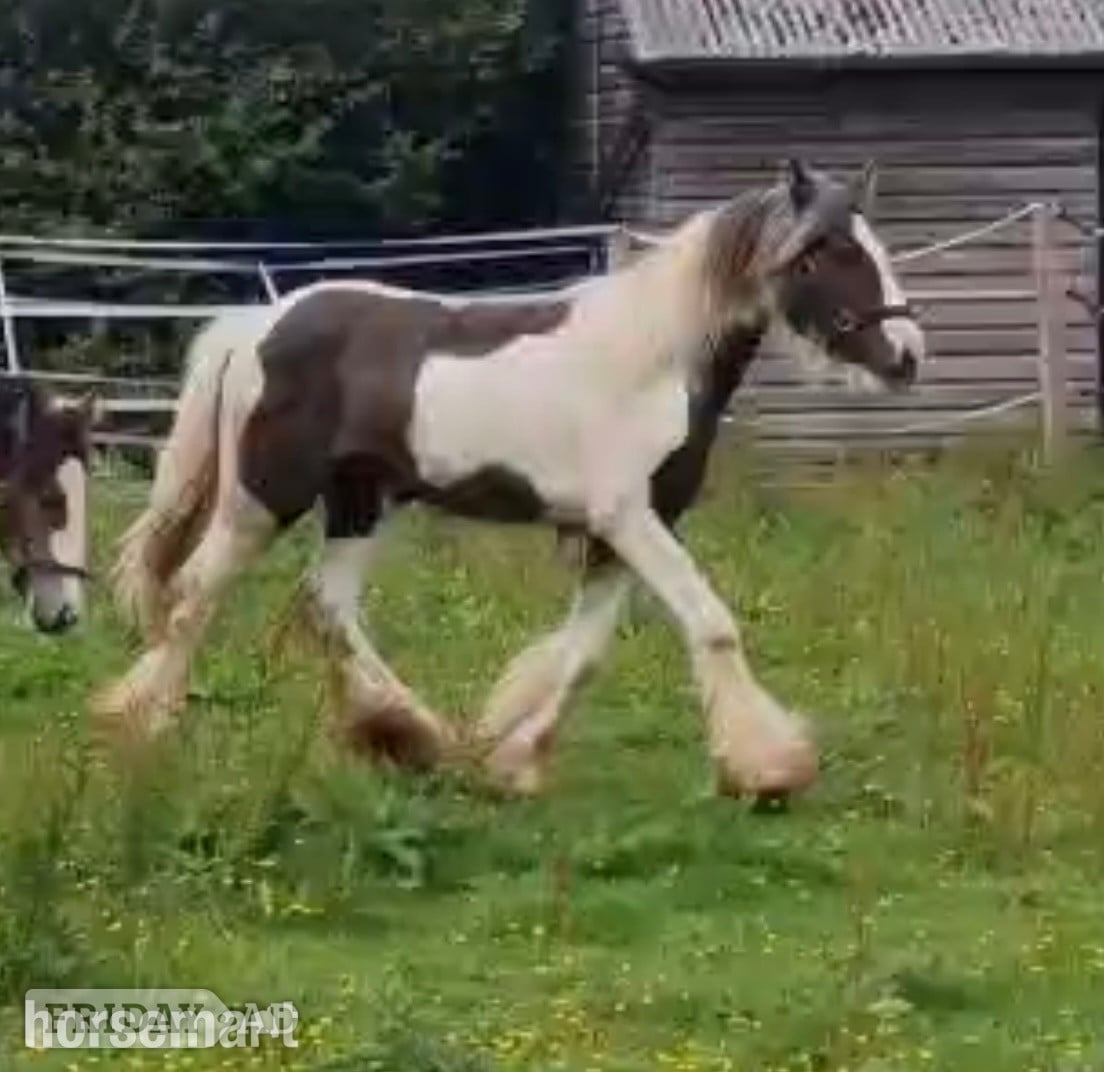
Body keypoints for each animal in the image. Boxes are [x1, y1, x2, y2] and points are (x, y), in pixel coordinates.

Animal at [96, 160, 923, 802]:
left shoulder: (623, 531)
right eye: (824, 253)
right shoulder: (628, 519)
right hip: (261, 500)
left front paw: (515, 761)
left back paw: (413, 736)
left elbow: (583, 654)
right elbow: (712, 624)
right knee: (196, 594)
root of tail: (257, 325)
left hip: (361, 500)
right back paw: (144, 725)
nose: (908, 354)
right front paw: (769, 768)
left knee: (326, 605)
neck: (652, 362)